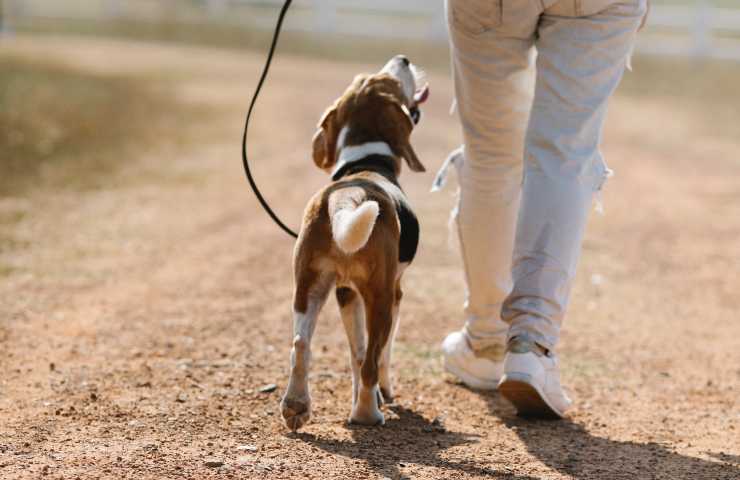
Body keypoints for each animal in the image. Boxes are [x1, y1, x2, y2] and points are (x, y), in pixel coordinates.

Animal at [278, 57, 430, 432]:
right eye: (391, 81)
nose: (403, 59)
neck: (366, 162)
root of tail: (348, 196)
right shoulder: (394, 292)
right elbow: (378, 356)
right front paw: (382, 394)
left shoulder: (345, 293)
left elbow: (355, 353)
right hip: (380, 297)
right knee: (373, 360)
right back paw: (367, 413)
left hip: (309, 287)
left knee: (301, 345)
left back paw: (296, 406)